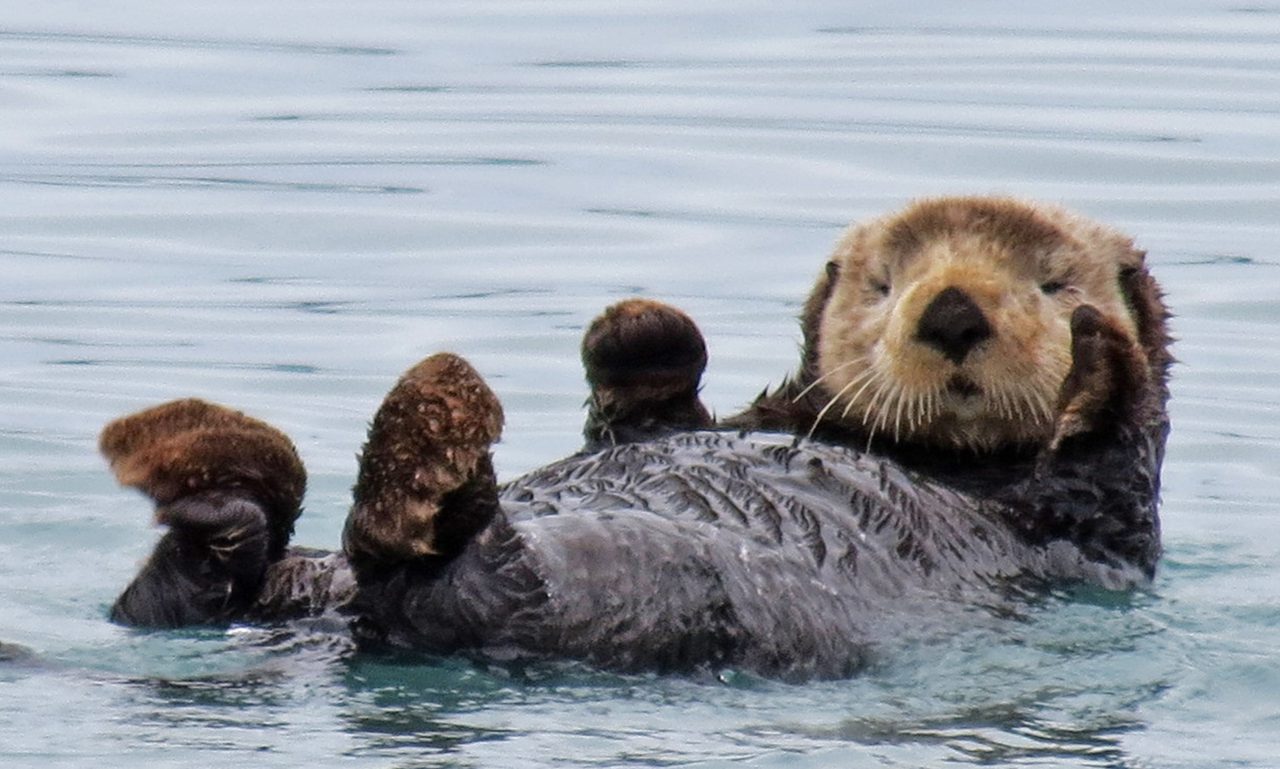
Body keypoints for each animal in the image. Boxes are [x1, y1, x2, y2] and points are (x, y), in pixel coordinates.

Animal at [104, 197, 1170, 680]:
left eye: (1053, 282)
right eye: (884, 282)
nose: (950, 311)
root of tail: (339, 625)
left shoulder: (1091, 522)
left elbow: (1108, 448)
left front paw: (1100, 355)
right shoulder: (681, 413)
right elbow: (649, 403)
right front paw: (641, 325)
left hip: (622, 591)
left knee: (453, 574)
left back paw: (424, 444)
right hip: (296, 583)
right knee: (187, 588)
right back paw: (209, 466)